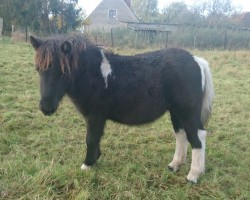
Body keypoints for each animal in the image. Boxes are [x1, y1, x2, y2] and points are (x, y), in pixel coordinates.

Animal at [30, 34, 214, 183]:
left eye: (64, 71)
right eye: (38, 69)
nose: (46, 108)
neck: (94, 74)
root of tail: (196, 60)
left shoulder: (95, 116)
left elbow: (91, 138)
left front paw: (87, 164)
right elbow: (96, 138)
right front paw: (95, 159)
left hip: (187, 112)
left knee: (197, 137)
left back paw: (193, 175)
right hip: (176, 112)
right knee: (181, 135)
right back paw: (174, 165)